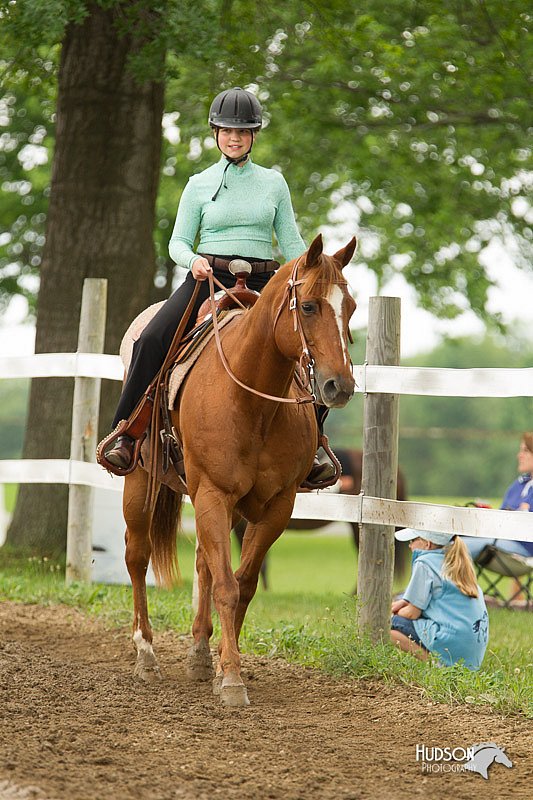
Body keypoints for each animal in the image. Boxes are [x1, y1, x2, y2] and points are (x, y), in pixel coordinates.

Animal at [122, 233, 356, 708]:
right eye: (308, 306)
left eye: (353, 308)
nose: (338, 386)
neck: (253, 401)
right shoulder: (213, 493)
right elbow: (227, 587)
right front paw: (231, 681)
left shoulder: (275, 506)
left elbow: (241, 584)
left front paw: (220, 668)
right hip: (140, 481)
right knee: (137, 558)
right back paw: (146, 655)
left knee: (202, 566)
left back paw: (197, 654)